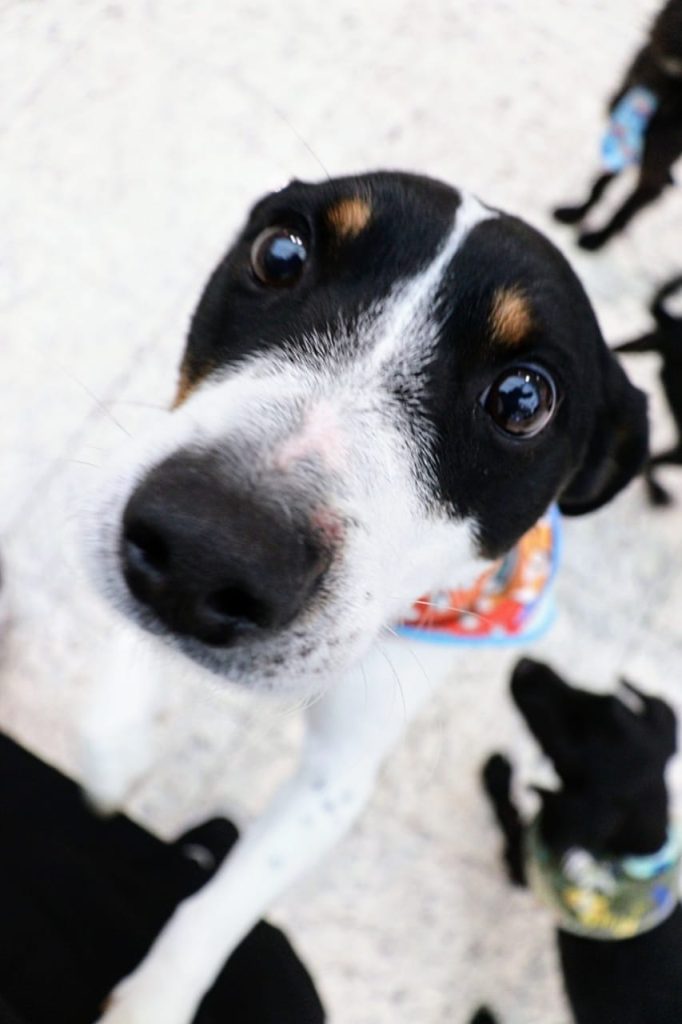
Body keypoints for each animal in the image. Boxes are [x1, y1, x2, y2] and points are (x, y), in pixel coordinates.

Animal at [78, 172, 643, 1019]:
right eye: (281, 252)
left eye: (523, 399)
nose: (206, 549)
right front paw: (113, 759)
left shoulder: (336, 780)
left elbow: (221, 909)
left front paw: (154, 1002)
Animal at [477, 659, 679, 1024]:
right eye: (593, 694)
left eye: (569, 736)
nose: (526, 665)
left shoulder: (524, 861)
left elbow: (508, 816)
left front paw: (496, 774)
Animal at [552, 1, 679, 252]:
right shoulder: (624, 138)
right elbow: (599, 185)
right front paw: (576, 213)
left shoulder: (653, 172)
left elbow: (623, 212)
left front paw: (597, 241)